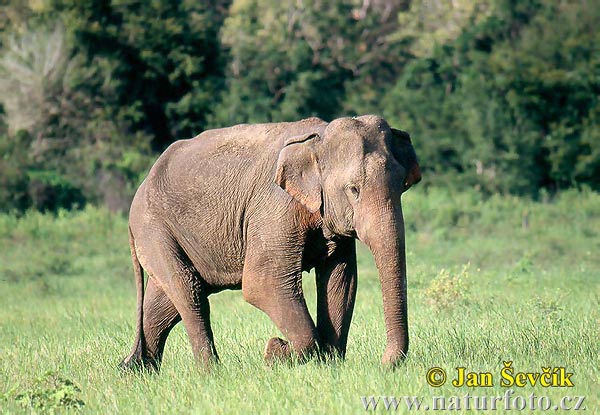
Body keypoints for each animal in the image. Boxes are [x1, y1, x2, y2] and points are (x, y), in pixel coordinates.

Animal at [120, 114, 422, 370]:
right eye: (353, 189)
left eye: (402, 186)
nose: (384, 365)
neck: (318, 139)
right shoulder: (274, 208)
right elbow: (262, 283)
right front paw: (278, 353)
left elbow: (341, 283)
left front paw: (330, 364)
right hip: (154, 228)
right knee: (188, 291)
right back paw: (210, 373)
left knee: (164, 303)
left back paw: (134, 371)